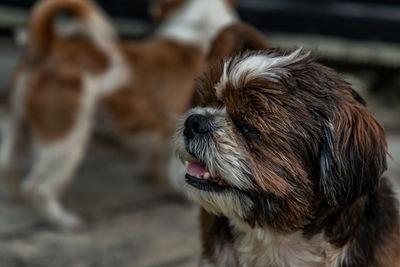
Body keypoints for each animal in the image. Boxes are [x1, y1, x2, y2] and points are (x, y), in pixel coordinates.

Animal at [0, 0, 238, 230]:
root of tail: (49, 44)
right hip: (64, 142)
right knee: (37, 188)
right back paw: (63, 220)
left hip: (18, 127)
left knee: (8, 165)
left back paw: (17, 199)